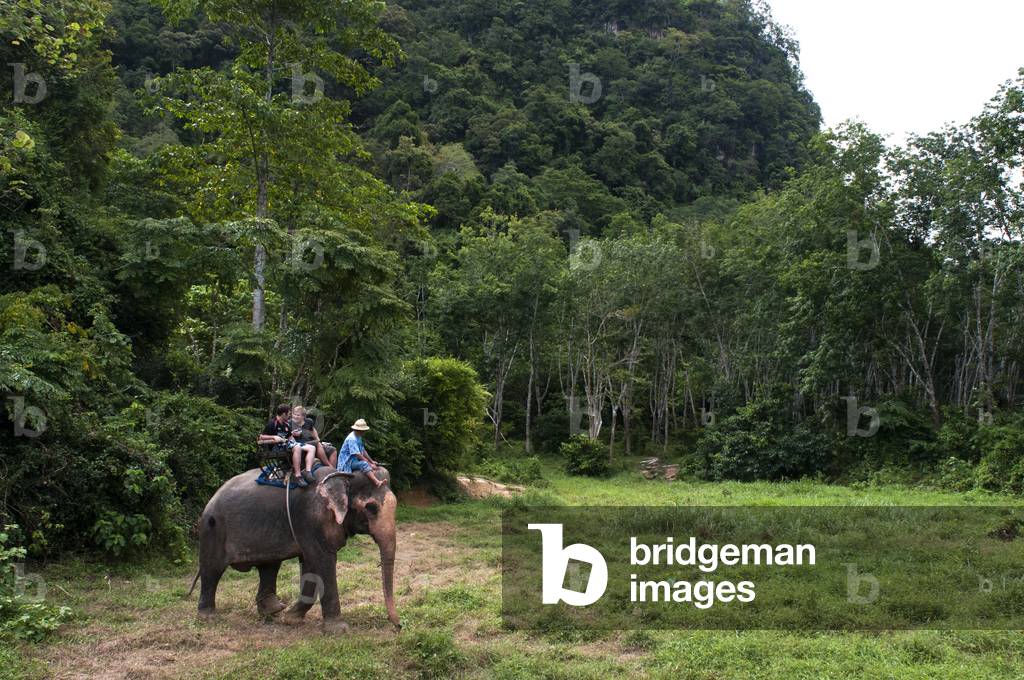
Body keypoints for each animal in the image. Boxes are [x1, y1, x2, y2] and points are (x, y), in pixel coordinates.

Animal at [190, 464, 400, 630]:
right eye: (371, 508)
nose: (399, 627)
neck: (342, 474)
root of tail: (212, 498)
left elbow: (310, 564)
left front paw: (290, 619)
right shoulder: (310, 519)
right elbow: (322, 561)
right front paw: (339, 630)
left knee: (269, 566)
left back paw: (274, 611)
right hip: (212, 529)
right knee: (212, 569)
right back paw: (209, 618)